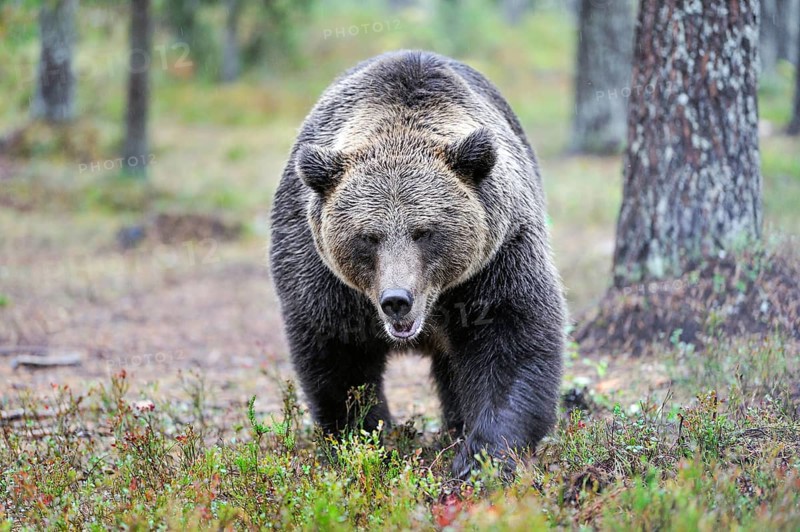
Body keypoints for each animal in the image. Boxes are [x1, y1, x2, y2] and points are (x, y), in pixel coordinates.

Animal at [270, 50, 565, 478]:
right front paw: (364, 439)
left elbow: (511, 341)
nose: (397, 299)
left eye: (424, 231)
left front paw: (481, 458)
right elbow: (337, 356)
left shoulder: (497, 259)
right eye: (368, 236)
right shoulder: (320, 270)